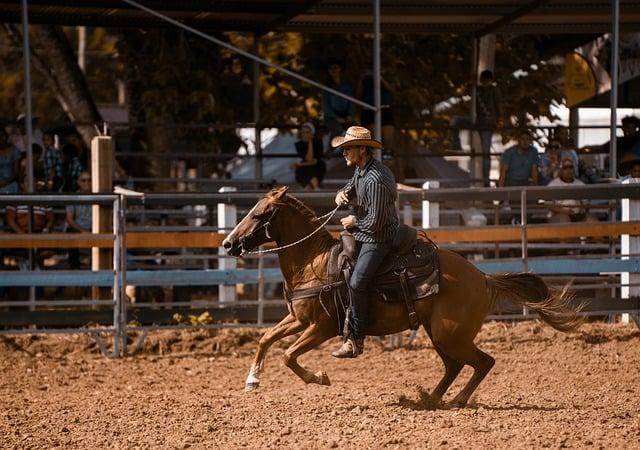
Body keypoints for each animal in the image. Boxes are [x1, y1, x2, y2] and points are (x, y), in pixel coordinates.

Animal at [222, 187, 584, 408]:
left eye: (259, 214)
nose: (227, 244)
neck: (315, 262)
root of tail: (482, 277)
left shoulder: (320, 328)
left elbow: (288, 355)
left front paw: (319, 377)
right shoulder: (298, 319)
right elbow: (266, 339)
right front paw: (252, 380)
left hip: (449, 335)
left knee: (483, 362)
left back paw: (455, 401)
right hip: (439, 333)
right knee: (455, 366)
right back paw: (431, 399)